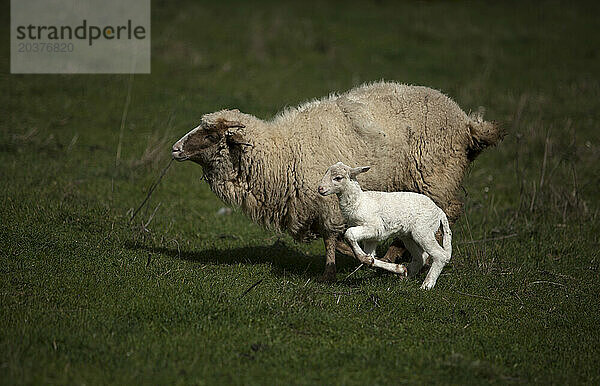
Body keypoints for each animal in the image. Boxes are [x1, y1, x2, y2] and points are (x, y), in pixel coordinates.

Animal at [316, 161, 452, 290]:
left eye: (338, 178)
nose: (320, 189)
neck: (359, 202)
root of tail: (439, 211)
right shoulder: (371, 238)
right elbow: (369, 255)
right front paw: (398, 268)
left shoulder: (375, 228)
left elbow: (349, 234)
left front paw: (368, 259)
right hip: (409, 236)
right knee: (421, 257)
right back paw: (405, 276)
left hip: (424, 230)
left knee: (440, 255)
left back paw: (427, 284)